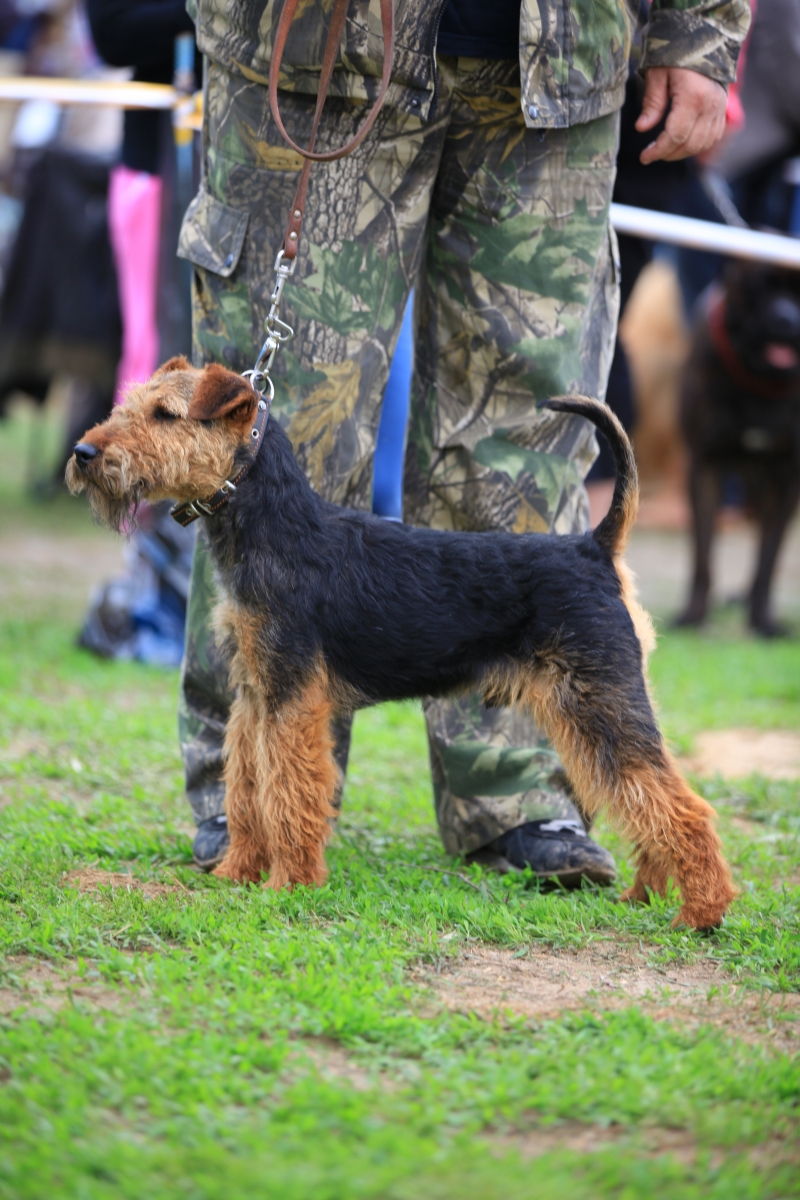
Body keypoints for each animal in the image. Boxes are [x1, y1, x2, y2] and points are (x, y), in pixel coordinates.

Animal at [68, 355, 738, 926]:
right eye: (131, 404)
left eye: (165, 414)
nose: (83, 451)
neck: (273, 527)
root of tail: (596, 545)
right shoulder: (254, 696)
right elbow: (246, 792)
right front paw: (237, 873)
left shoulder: (290, 700)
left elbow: (287, 793)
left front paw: (290, 885)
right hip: (595, 712)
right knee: (647, 803)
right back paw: (644, 895)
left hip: (599, 705)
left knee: (681, 806)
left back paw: (701, 912)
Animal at [676, 261, 800, 638]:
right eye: (761, 287)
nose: (787, 320)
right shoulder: (704, 466)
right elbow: (702, 555)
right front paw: (692, 615)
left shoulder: (786, 478)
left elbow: (768, 557)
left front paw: (764, 621)